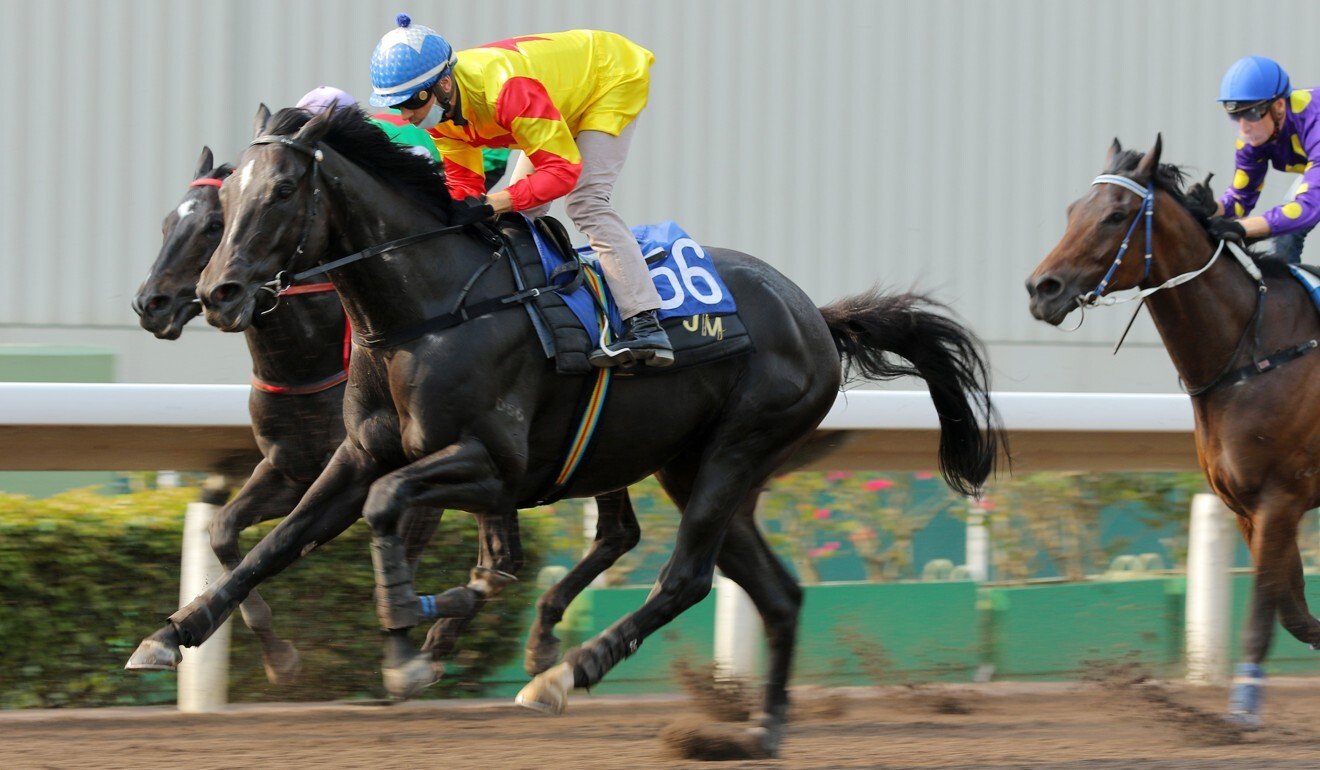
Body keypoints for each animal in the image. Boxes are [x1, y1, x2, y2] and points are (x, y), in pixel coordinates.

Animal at [133, 108, 997, 760]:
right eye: (223, 198)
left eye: (279, 191)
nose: (213, 293)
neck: (427, 308)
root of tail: (814, 313)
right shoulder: (353, 455)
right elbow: (273, 542)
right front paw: (173, 636)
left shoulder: (490, 466)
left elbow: (397, 517)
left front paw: (410, 643)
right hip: (693, 465)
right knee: (776, 593)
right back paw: (760, 731)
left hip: (737, 448)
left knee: (683, 577)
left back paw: (562, 673)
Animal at [1029, 137, 1320, 729]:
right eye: (1073, 210)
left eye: (1116, 216)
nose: (1042, 288)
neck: (1252, 351)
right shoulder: (1246, 506)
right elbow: (1295, 611)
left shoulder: (1282, 497)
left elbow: (1264, 614)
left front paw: (1240, 715)